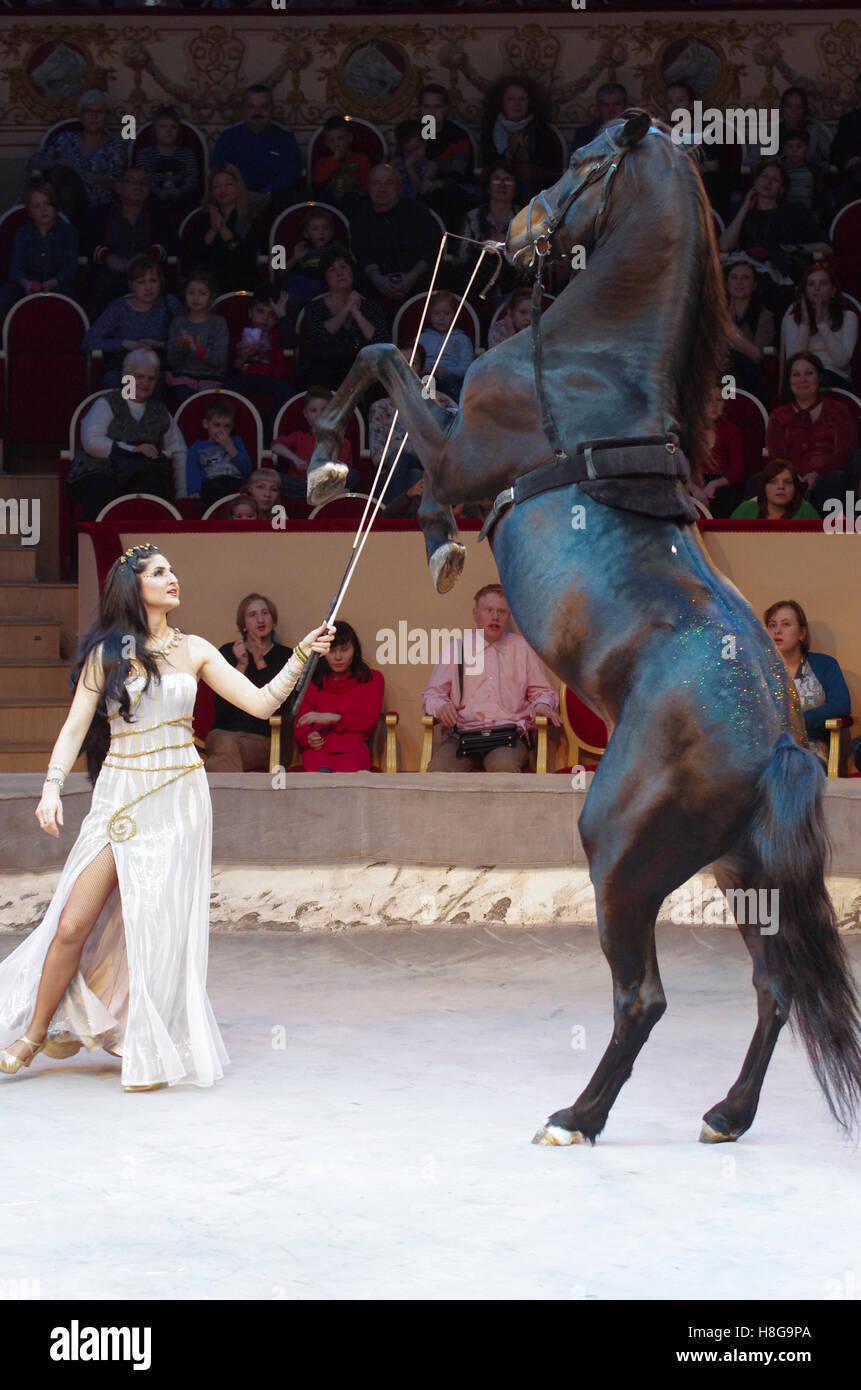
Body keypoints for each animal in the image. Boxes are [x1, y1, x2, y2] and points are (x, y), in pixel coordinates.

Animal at [308, 113, 861, 1139]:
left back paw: (577, 1115)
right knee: (774, 987)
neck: (586, 365)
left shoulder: (461, 450)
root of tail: (778, 743)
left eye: (578, 164)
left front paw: (331, 469)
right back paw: (725, 1114)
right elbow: (402, 416)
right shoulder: (459, 459)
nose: (518, 226)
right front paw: (436, 547)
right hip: (739, 869)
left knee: (642, 998)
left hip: (620, 853)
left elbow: (382, 363)